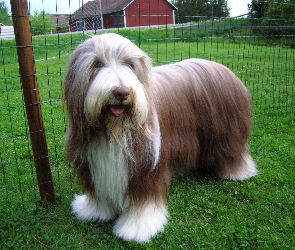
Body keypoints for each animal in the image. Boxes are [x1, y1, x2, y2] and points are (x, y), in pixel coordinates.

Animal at [62, 32, 256, 243]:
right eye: (97, 64)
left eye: (129, 64)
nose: (121, 92)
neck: (114, 131)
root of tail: (223, 68)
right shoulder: (92, 162)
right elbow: (98, 191)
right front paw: (95, 211)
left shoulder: (147, 165)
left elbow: (144, 199)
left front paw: (138, 227)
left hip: (226, 133)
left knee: (233, 151)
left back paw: (237, 172)